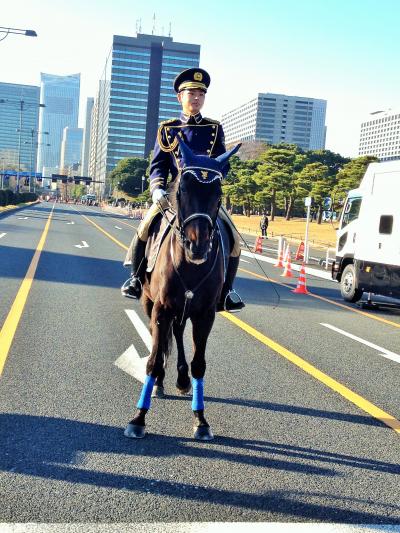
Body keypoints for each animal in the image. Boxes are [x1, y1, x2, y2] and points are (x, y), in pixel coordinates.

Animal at [123, 139, 239, 438]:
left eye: (218, 192)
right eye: (183, 189)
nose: (198, 246)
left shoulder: (205, 314)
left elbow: (200, 364)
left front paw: (201, 419)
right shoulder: (161, 308)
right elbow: (152, 360)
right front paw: (139, 418)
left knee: (176, 333)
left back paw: (182, 379)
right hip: (151, 303)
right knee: (160, 337)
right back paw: (161, 382)